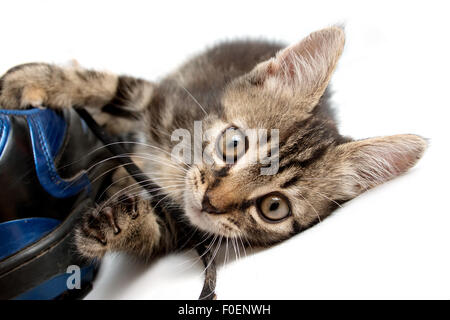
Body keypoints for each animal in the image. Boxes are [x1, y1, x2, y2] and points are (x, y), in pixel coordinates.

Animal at [0, 26, 426, 268]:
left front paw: (117, 226)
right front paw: (31, 82)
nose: (210, 202)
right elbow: (110, 87)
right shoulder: (162, 98)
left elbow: (154, 230)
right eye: (234, 143)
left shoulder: (182, 228)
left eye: (274, 207)